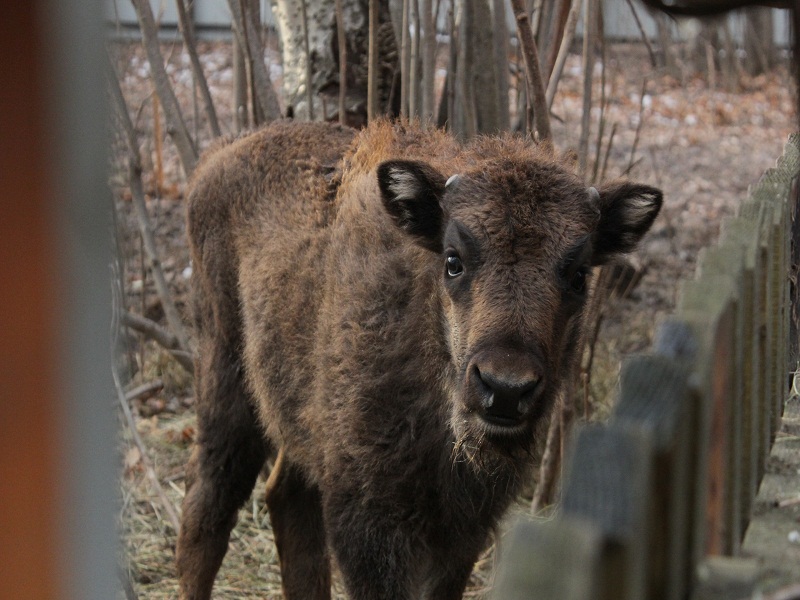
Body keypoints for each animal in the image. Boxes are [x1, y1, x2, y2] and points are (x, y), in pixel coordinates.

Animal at [178, 119, 664, 596]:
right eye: (453, 260)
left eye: (580, 275)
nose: (506, 388)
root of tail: (220, 153)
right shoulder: (369, 522)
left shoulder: (465, 529)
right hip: (225, 383)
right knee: (208, 508)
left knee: (286, 497)